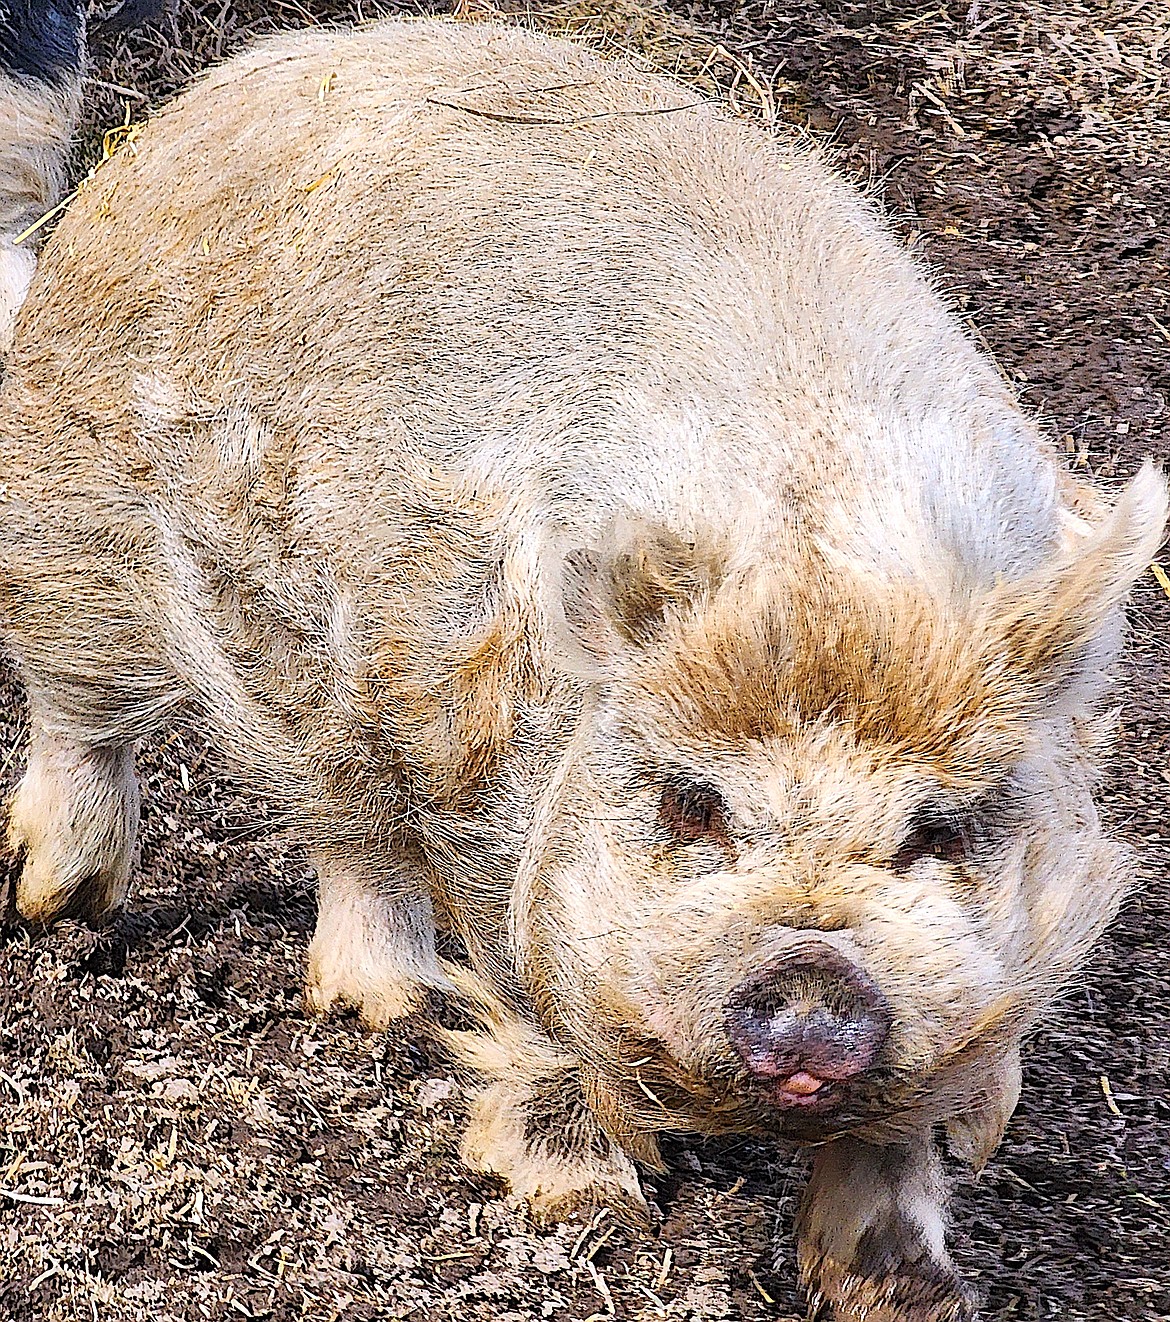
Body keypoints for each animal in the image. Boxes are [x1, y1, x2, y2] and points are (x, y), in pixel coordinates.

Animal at [0, 12, 1163, 1322]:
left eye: (938, 831)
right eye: (693, 805)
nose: (814, 976)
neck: (822, 572)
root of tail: (248, 79)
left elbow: (910, 1121)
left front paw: (901, 1289)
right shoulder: (486, 780)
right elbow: (539, 999)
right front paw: (585, 1202)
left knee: (347, 819)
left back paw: (392, 1006)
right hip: (72, 517)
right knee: (87, 716)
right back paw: (62, 902)